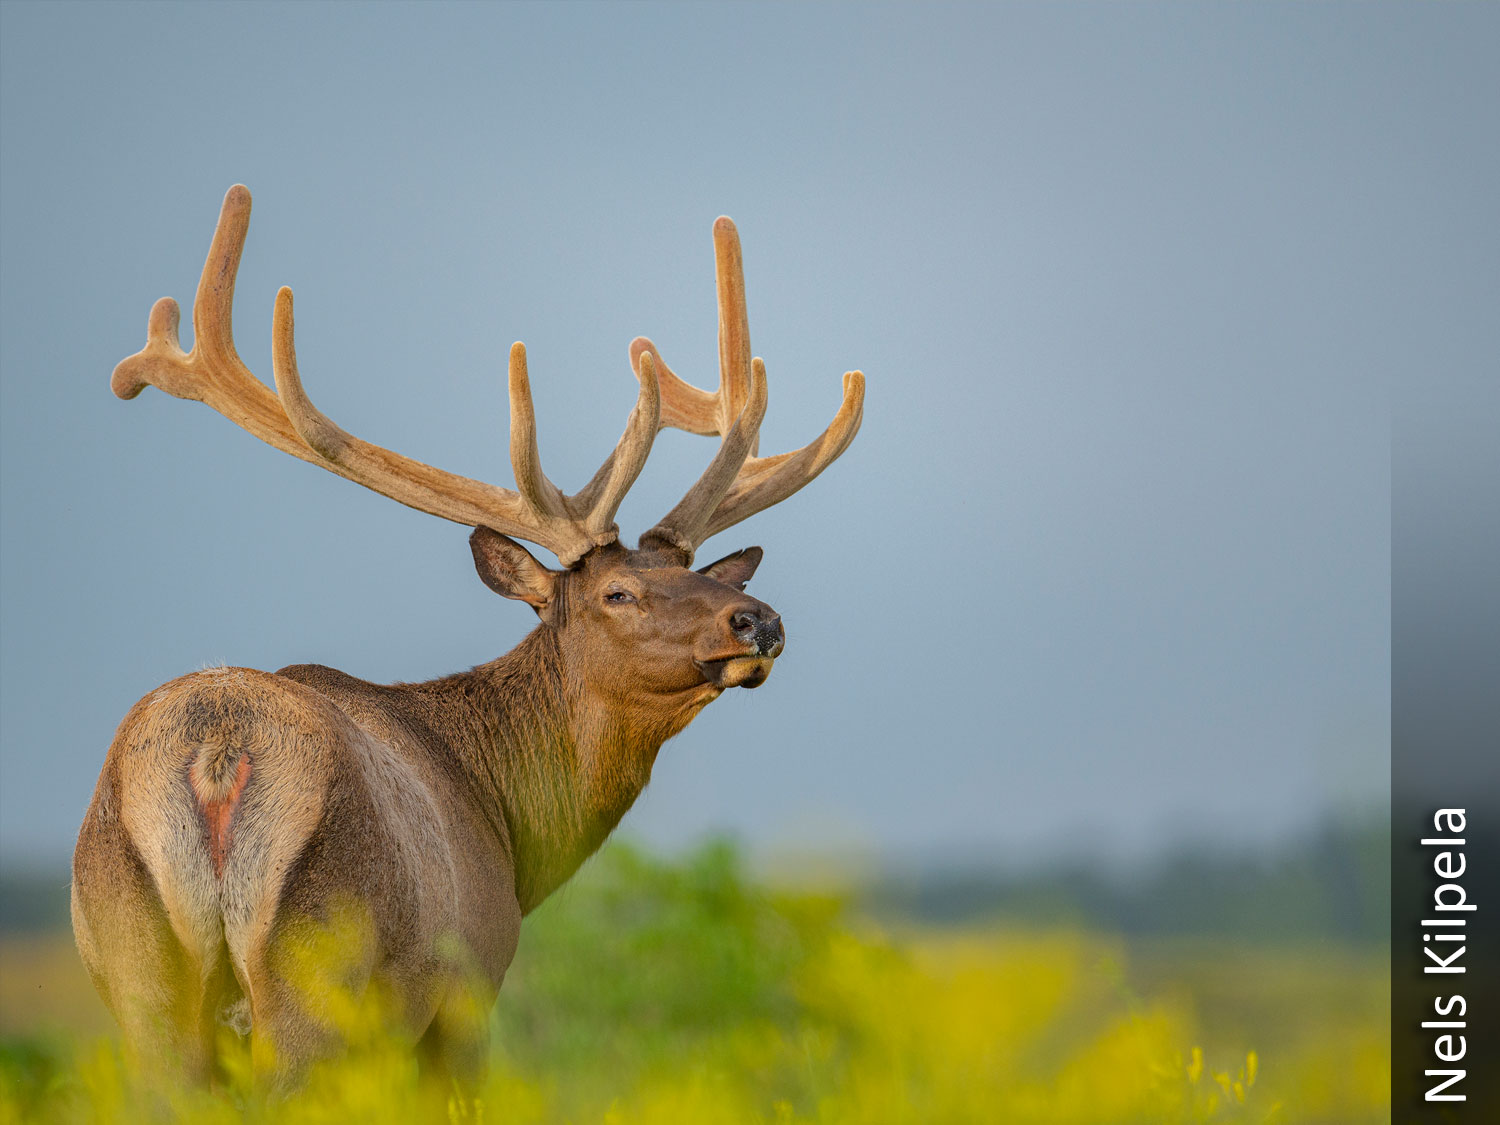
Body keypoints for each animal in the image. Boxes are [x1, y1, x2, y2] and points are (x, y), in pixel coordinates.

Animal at [73, 187, 870, 1092]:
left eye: (703, 572)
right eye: (617, 592)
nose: (758, 619)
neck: (516, 841)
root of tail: (215, 754)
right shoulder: (469, 988)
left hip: (138, 972)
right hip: (318, 967)